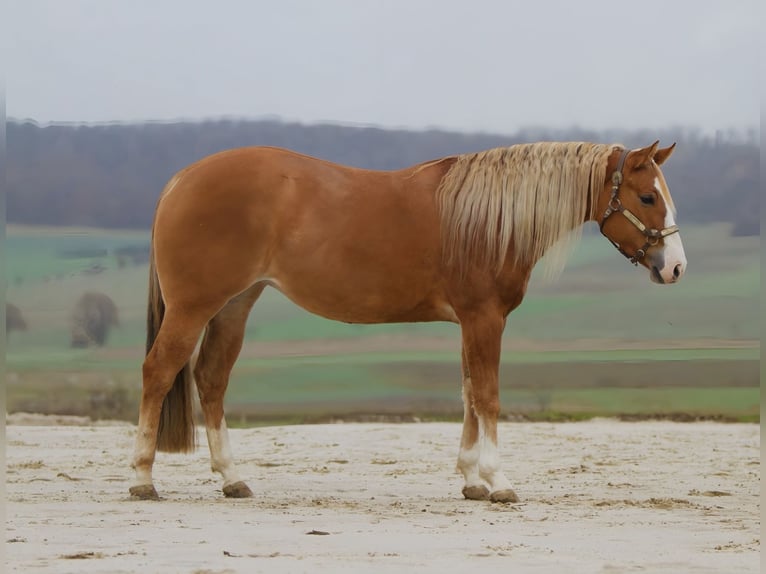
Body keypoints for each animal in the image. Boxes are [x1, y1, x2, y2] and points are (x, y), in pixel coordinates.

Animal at [130, 140, 686, 502]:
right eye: (647, 197)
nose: (675, 267)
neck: (486, 219)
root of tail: (181, 179)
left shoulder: (469, 321)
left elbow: (468, 392)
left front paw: (471, 481)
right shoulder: (484, 318)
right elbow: (488, 395)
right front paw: (499, 481)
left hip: (235, 304)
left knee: (211, 379)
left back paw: (232, 478)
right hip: (194, 307)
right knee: (158, 373)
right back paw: (142, 479)